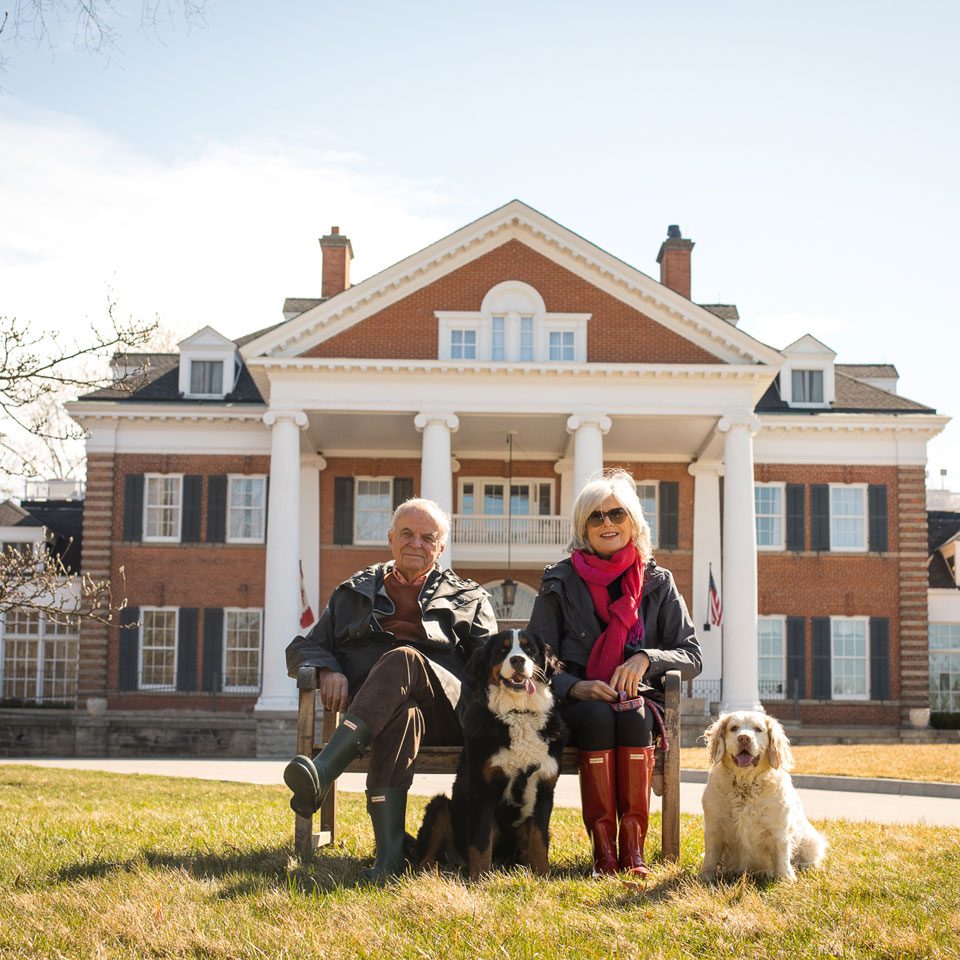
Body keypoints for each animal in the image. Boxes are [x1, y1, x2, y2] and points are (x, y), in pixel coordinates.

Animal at [414, 628, 568, 880]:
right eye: (502, 650)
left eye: (529, 649)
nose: (518, 660)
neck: (518, 713)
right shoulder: (483, 788)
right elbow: (481, 841)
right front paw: (480, 879)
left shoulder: (545, 789)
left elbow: (539, 841)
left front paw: (543, 877)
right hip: (441, 806)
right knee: (427, 855)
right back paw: (426, 874)